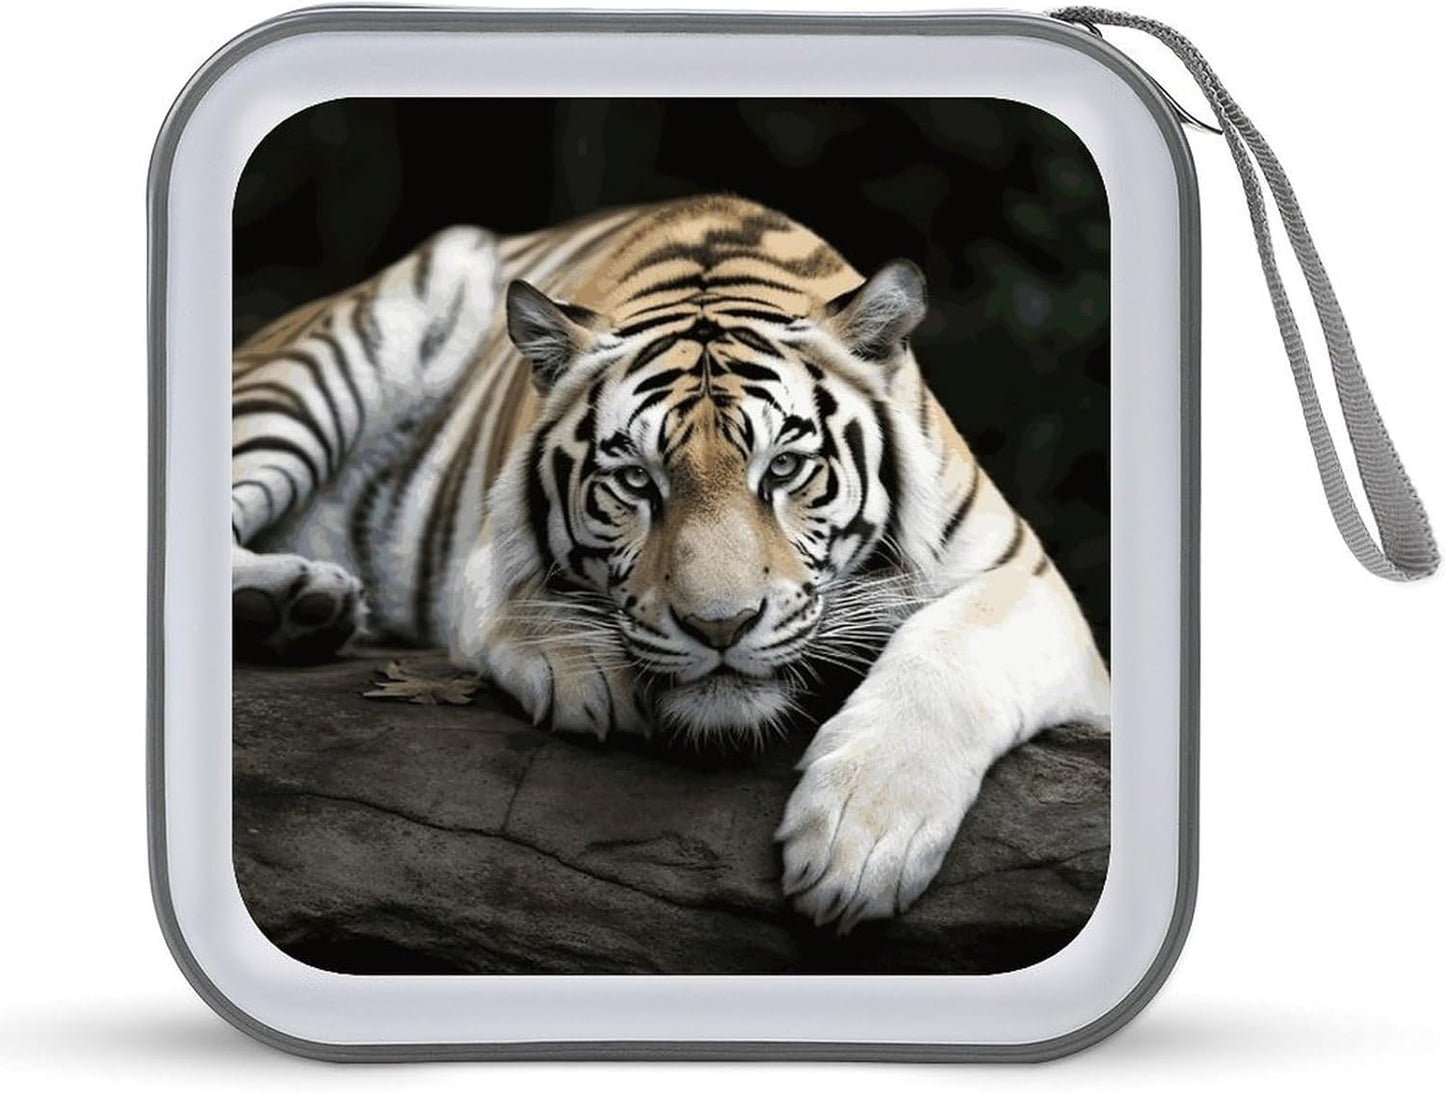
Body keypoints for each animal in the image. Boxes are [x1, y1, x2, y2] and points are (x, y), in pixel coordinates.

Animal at [231, 193, 1110, 932]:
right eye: (634, 481)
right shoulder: (486, 543)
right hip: (314, 368)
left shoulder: (1027, 577)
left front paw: (860, 840)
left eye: (783, 469)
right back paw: (289, 602)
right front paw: (584, 667)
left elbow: (950, 652)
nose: (719, 626)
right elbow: (521, 595)